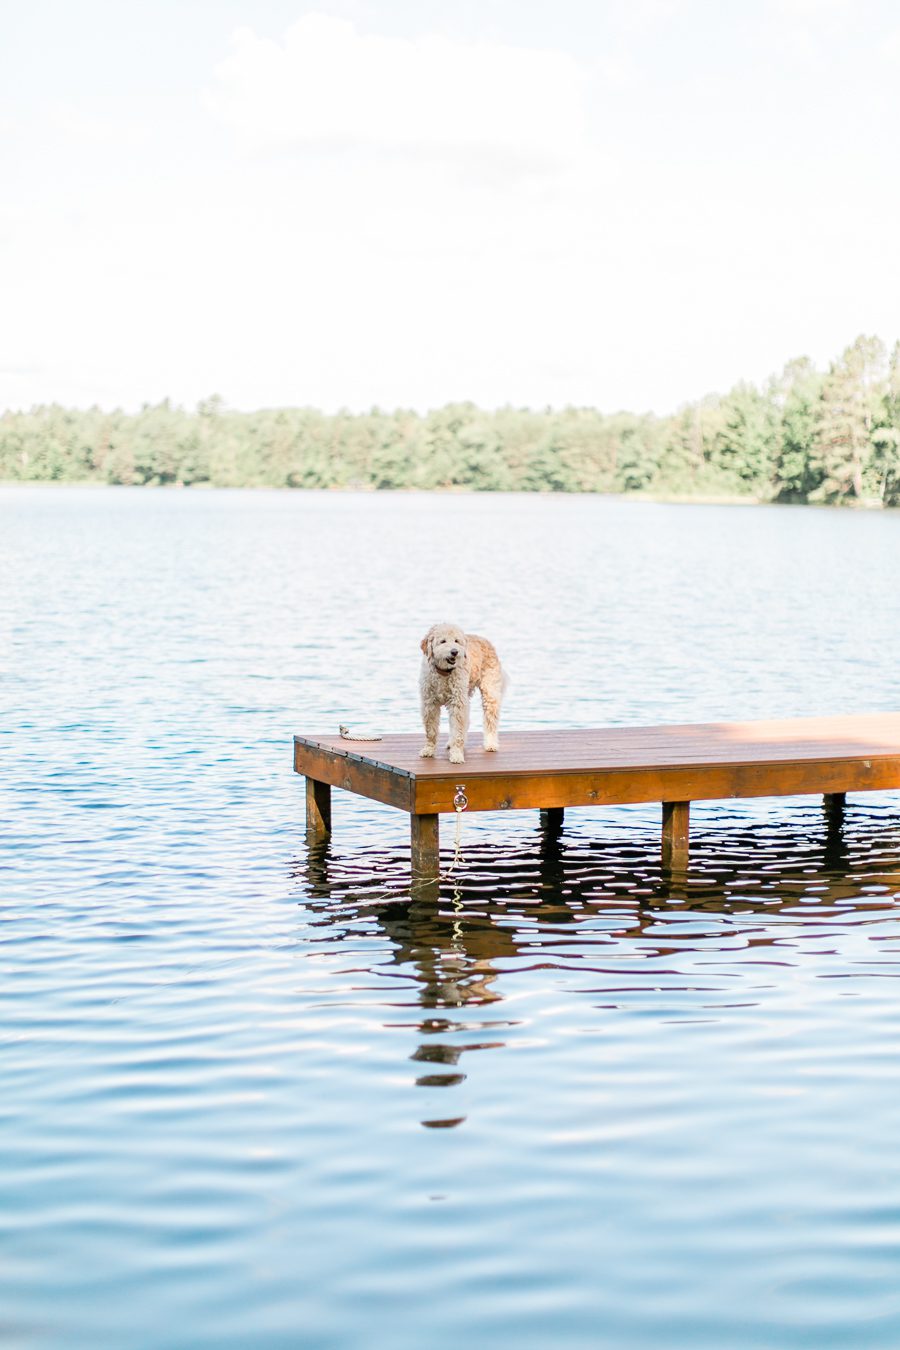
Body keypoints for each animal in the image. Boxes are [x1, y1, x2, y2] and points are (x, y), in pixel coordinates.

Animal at [420, 623, 507, 766]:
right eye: (443, 641)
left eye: (456, 641)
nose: (455, 651)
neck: (444, 672)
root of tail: (485, 640)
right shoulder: (429, 704)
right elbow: (431, 730)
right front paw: (429, 749)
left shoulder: (458, 703)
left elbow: (458, 731)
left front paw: (456, 755)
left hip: (490, 693)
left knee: (490, 720)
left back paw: (490, 743)